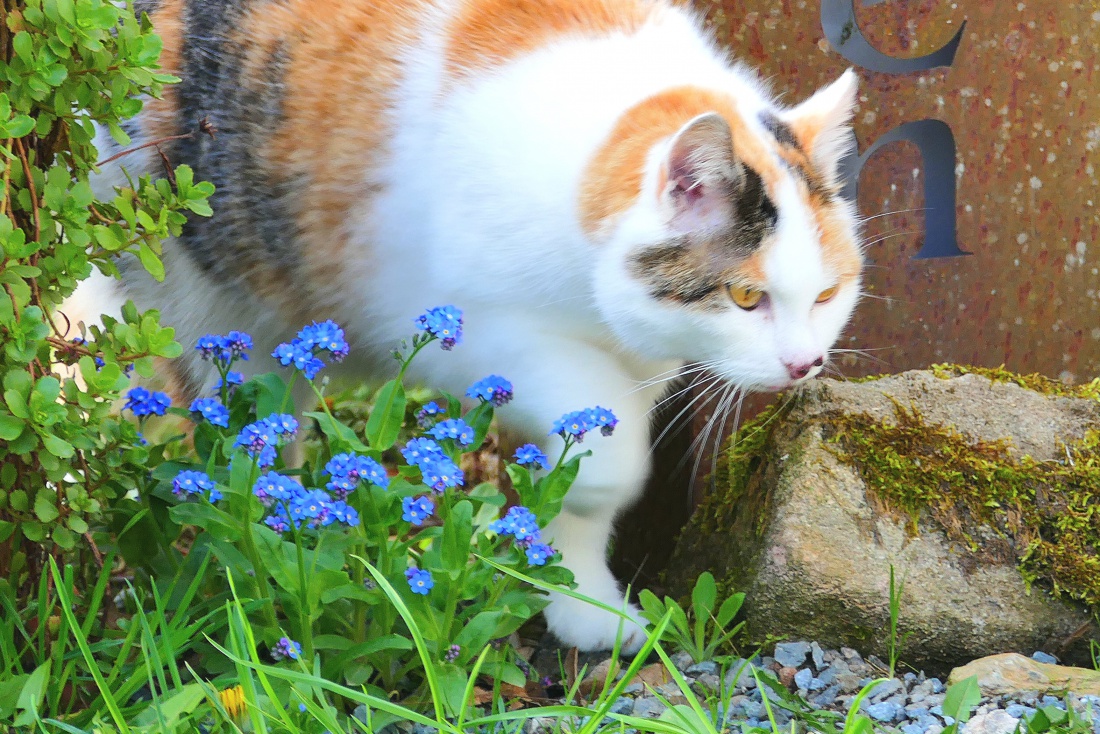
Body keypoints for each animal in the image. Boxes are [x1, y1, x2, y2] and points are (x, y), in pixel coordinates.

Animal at [88, 0, 866, 655]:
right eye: (745, 296)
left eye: (828, 293)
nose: (804, 364)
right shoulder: (477, 338)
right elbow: (610, 466)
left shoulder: (639, 359)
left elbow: (580, 475)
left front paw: (577, 598)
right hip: (215, 310)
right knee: (242, 440)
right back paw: (270, 540)